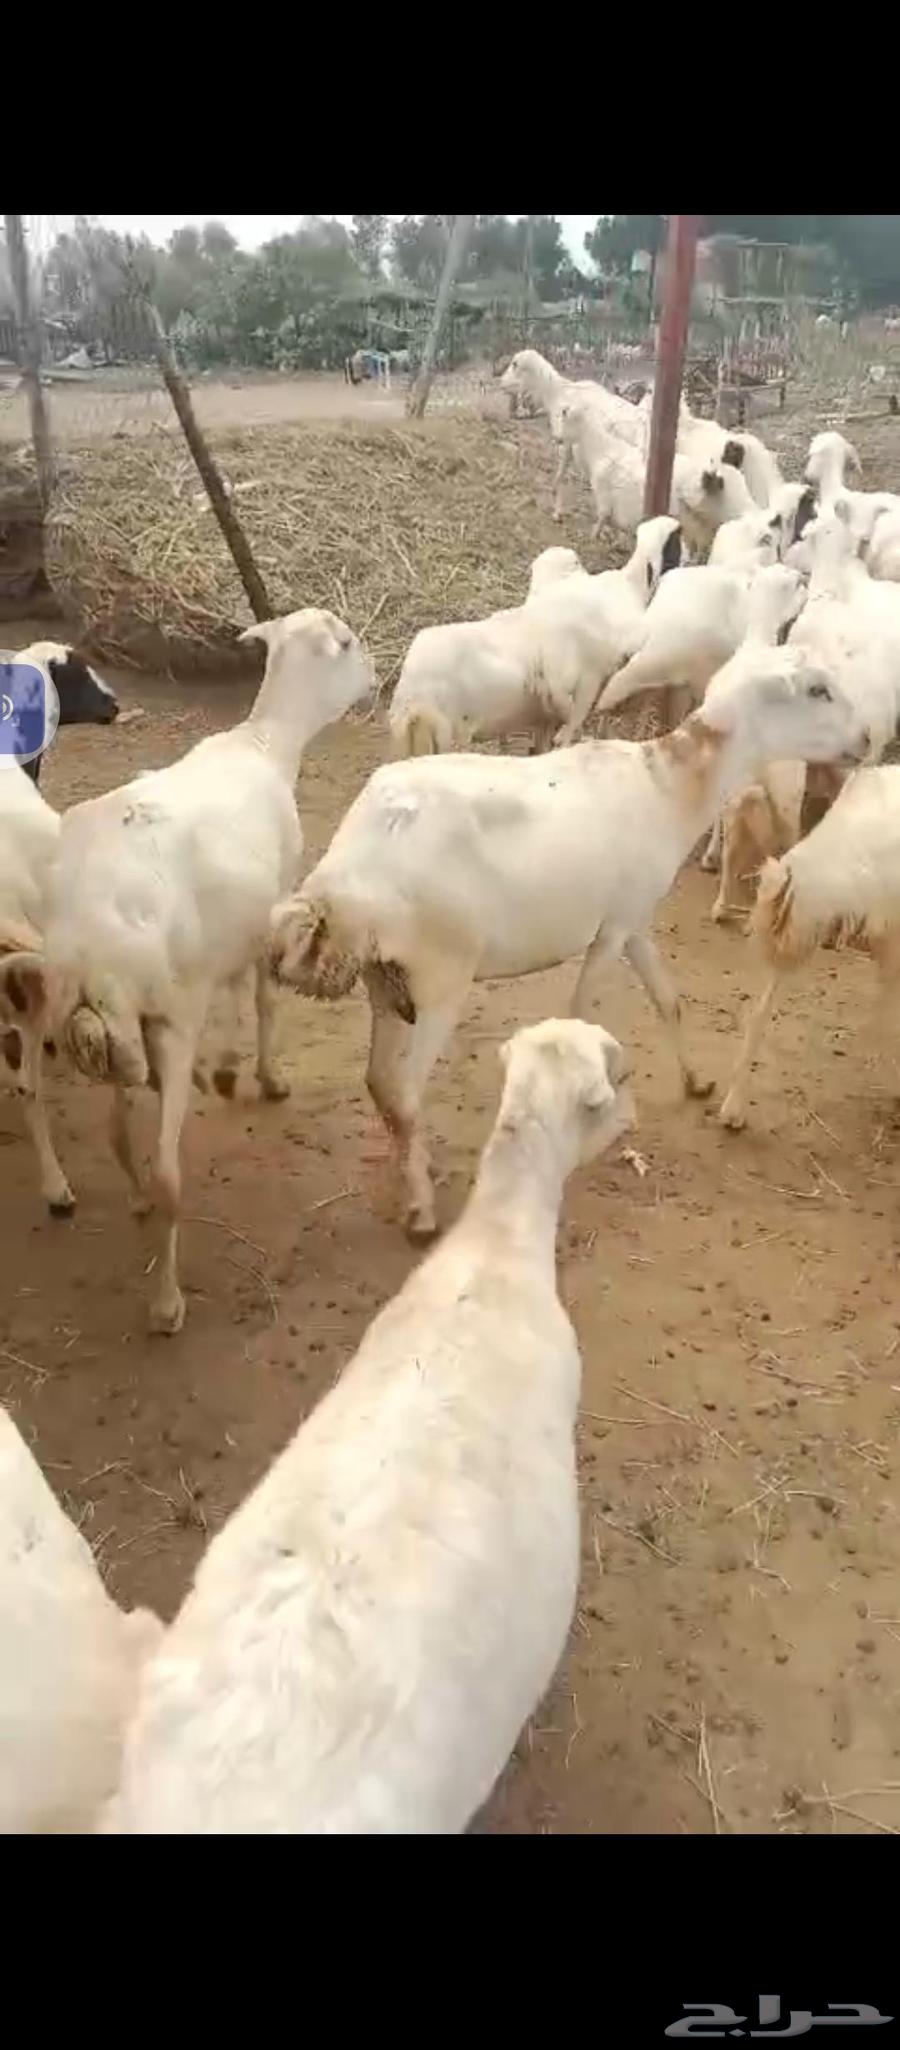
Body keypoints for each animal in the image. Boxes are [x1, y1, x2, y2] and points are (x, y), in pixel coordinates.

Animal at [0, 610, 373, 1334]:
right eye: (345, 643)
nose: (373, 675)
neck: (265, 741)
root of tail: (91, 944)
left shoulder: (224, 939)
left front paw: (226, 1069)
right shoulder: (268, 911)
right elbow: (262, 999)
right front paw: (262, 1076)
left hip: (99, 1021)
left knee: (112, 1132)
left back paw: (132, 1196)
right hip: (166, 1020)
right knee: (167, 1173)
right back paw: (166, 1301)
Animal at [268, 648, 869, 1241]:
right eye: (817, 690)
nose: (866, 739)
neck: (670, 786)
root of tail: (340, 879)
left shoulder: (634, 919)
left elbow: (668, 1000)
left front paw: (696, 1081)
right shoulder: (610, 932)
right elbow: (582, 1010)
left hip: (384, 977)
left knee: (379, 1085)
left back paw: (410, 1170)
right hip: (441, 978)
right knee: (406, 1092)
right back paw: (421, 1209)